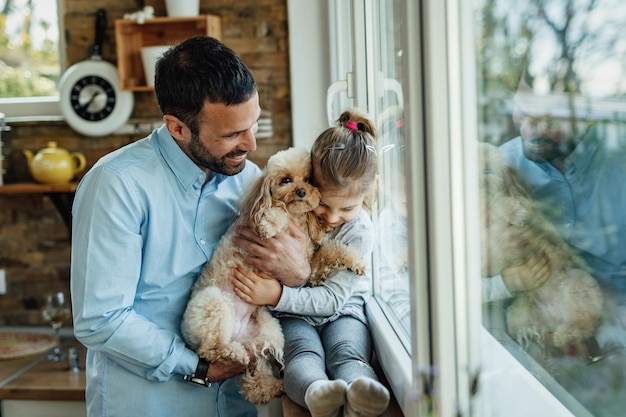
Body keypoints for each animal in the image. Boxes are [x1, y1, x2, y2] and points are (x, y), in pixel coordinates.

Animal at [478, 142, 600, 352]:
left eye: (487, 169)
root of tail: (552, 318)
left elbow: (500, 201)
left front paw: (515, 213)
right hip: (519, 309)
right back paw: (530, 332)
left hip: (577, 284)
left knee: (584, 325)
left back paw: (566, 334)